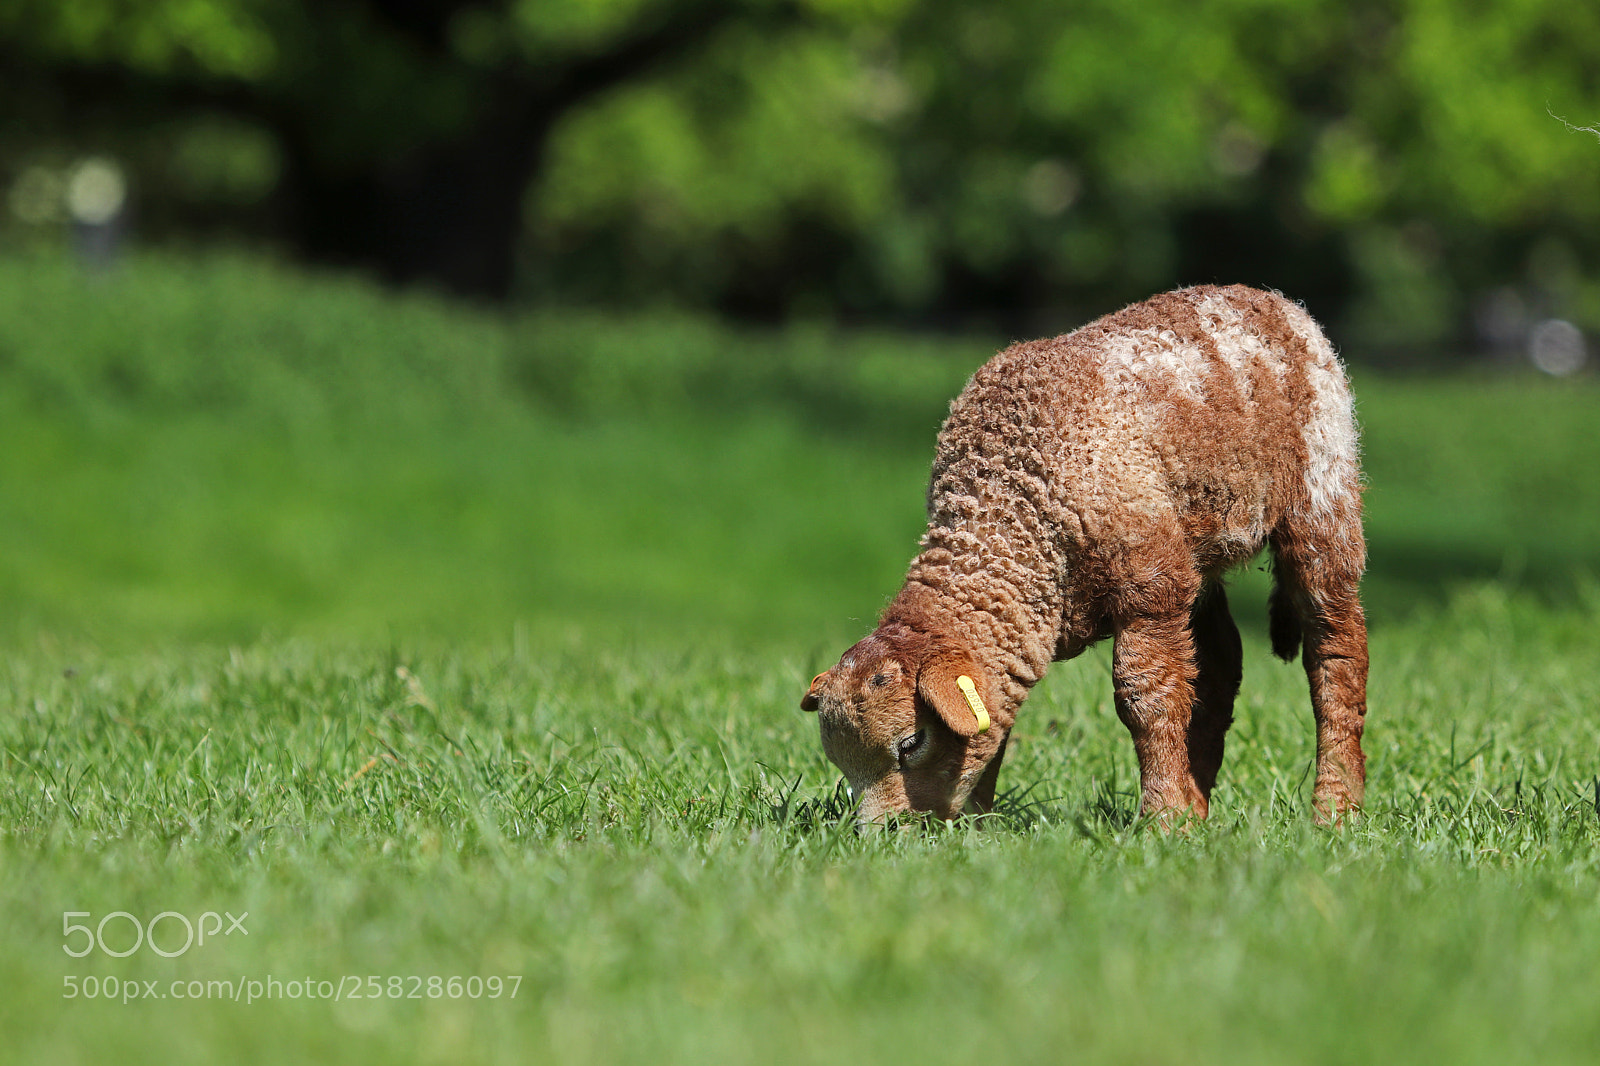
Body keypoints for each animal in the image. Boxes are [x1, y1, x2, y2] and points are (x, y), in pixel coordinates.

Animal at [801, 284, 1367, 826]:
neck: (1011, 503)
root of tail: (1277, 302)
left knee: (1336, 651)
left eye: (912, 743)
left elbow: (1146, 699)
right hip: (1195, 547)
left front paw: (1163, 821)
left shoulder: (1149, 582)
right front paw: (980, 824)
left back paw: (1334, 811)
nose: (880, 835)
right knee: (1221, 664)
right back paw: (1202, 805)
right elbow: (998, 719)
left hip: (1323, 492)